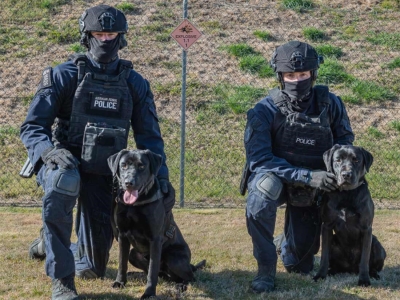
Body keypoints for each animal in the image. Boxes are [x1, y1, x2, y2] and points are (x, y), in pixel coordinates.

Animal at [107, 149, 205, 298]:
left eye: (142, 166)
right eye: (123, 165)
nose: (129, 182)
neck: (135, 205)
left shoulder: (155, 239)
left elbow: (152, 270)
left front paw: (149, 293)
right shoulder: (123, 235)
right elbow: (122, 263)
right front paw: (120, 282)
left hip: (173, 258)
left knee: (189, 277)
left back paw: (181, 286)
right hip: (134, 254)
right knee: (159, 274)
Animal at [314, 145, 386, 286]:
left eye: (356, 160)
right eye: (338, 160)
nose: (346, 174)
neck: (346, 194)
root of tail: (351, 269)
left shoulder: (366, 228)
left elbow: (364, 260)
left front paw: (364, 280)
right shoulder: (327, 226)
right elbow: (324, 256)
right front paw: (320, 275)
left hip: (377, 245)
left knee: (372, 265)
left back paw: (374, 275)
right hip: (334, 241)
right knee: (335, 264)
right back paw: (331, 271)